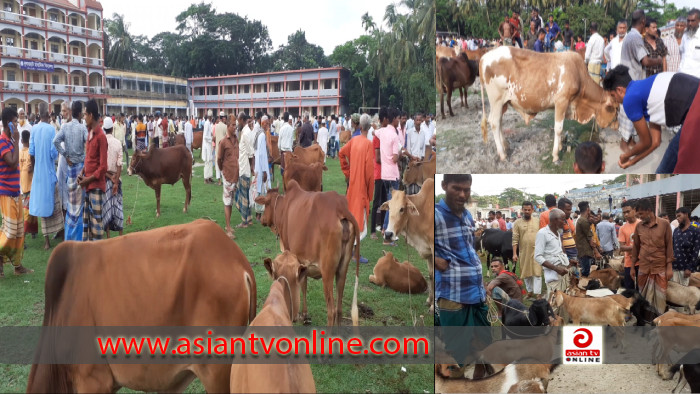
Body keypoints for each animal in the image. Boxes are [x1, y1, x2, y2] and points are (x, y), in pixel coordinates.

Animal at [253, 180, 360, 324]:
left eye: (265, 204)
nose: (262, 219)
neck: (283, 207)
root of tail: (340, 206)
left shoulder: (290, 253)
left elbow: (300, 285)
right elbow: (304, 284)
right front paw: (304, 314)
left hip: (327, 272)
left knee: (331, 310)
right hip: (343, 268)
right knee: (339, 308)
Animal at [380, 178, 434, 310]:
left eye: (402, 209)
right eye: (389, 208)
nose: (388, 234)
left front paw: (433, 307)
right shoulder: (428, 251)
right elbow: (431, 276)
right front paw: (429, 301)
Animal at [478, 46, 616, 163]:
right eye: (615, 109)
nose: (616, 126)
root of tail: (484, 57)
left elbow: (561, 128)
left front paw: (560, 146)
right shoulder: (562, 101)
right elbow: (558, 128)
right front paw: (555, 156)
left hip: (503, 103)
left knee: (499, 121)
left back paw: (506, 146)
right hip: (496, 100)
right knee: (494, 122)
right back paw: (503, 155)